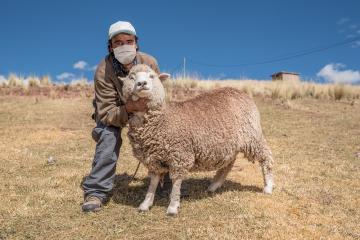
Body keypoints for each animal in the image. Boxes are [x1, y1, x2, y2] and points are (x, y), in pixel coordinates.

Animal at [119, 64, 274, 216]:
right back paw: (214, 185)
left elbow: (176, 182)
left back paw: (268, 186)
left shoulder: (180, 155)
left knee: (266, 157)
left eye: (152, 76)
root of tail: (240, 92)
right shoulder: (153, 159)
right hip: (230, 143)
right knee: (228, 164)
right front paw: (146, 204)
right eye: (131, 77)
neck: (162, 119)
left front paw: (173, 206)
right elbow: (153, 182)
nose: (141, 83)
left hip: (252, 136)